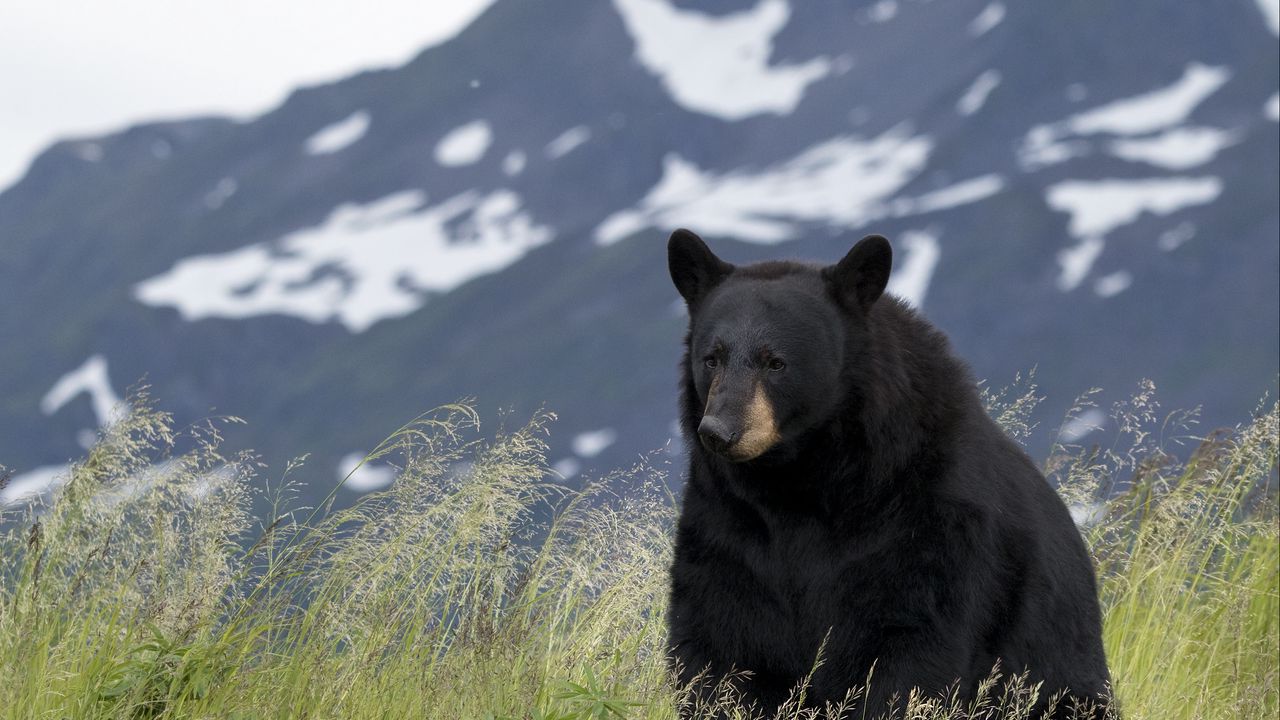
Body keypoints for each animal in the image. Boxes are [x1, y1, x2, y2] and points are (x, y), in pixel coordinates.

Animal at [665, 230, 1105, 717]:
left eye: (775, 362)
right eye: (712, 358)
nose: (720, 431)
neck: (799, 482)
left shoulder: (926, 522)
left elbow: (909, 652)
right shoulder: (728, 527)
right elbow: (720, 645)